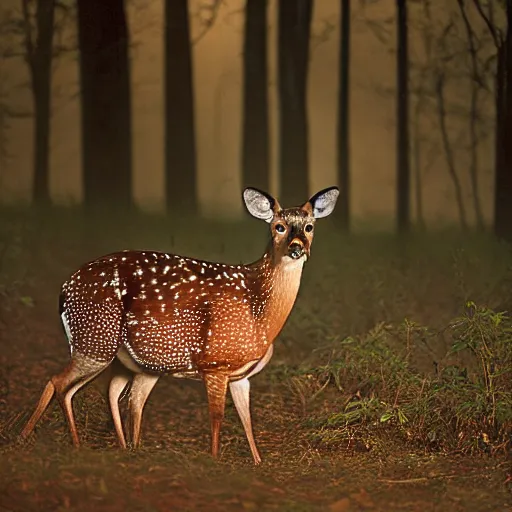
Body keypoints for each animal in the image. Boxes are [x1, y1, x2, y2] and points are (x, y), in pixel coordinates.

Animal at [21, 187, 340, 464]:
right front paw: (214, 460)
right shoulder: (215, 362)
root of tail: (65, 289)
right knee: (60, 382)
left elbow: (246, 418)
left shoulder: (241, 375)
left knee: (115, 393)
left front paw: (259, 463)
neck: (260, 314)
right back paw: (50, 441)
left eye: (309, 227)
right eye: (279, 227)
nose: (297, 247)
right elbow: (217, 416)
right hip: (95, 336)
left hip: (130, 358)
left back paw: (124, 448)